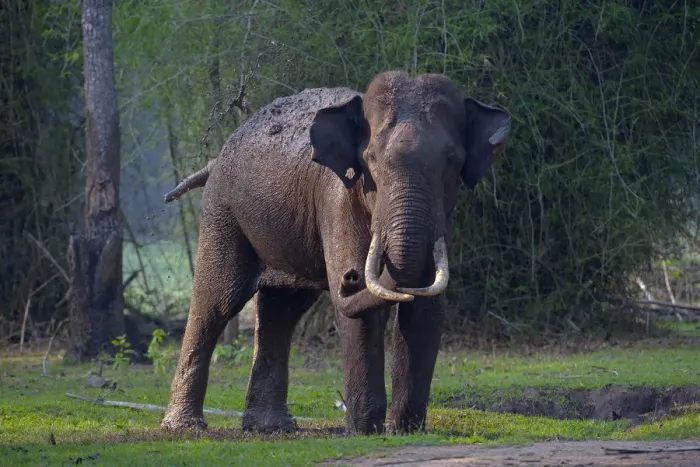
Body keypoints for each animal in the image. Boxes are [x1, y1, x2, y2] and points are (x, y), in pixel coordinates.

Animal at [160, 70, 511, 435]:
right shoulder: (337, 199)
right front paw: (365, 432)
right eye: (370, 159)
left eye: (453, 160)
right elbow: (364, 314)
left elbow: (426, 307)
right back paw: (185, 427)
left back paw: (270, 427)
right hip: (223, 211)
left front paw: (406, 430)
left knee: (283, 309)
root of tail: (215, 158)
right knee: (217, 303)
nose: (348, 277)